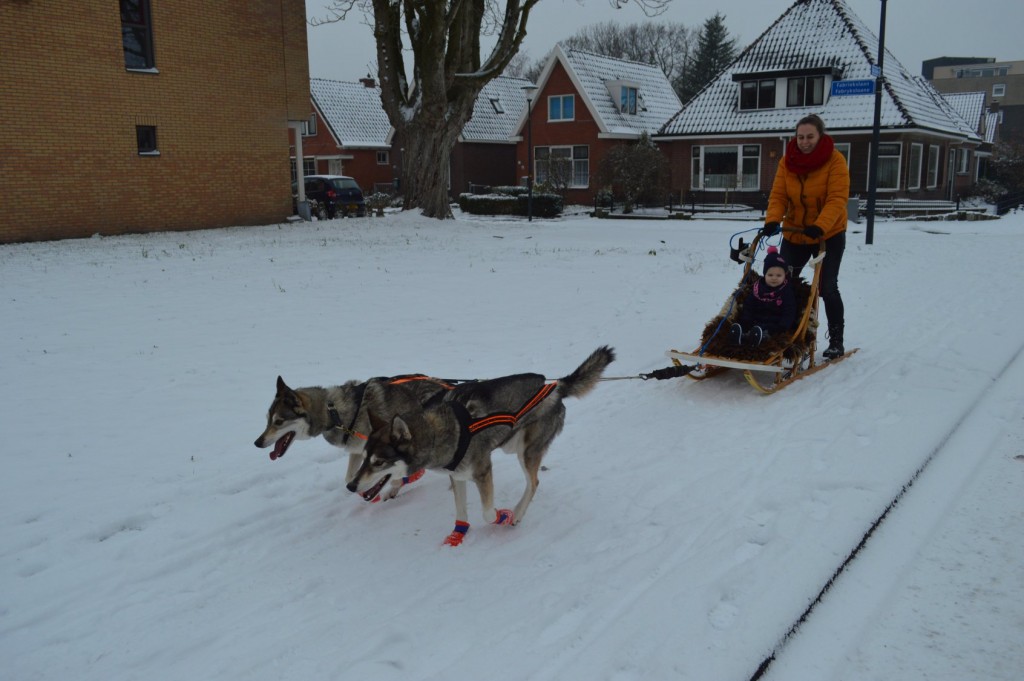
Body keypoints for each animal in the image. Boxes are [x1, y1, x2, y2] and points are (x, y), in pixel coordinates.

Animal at [253, 374, 458, 501]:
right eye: (267, 420)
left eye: (279, 421)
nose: (257, 442)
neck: (334, 412)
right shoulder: (359, 451)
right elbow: (350, 477)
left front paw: (394, 484)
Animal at [348, 348, 610, 544]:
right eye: (364, 457)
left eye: (379, 462)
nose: (351, 486)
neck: (443, 430)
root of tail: (555, 387)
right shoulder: (458, 475)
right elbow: (461, 511)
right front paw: (458, 534)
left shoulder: (483, 472)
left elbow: (486, 513)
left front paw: (503, 516)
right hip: (511, 444)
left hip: (526, 451)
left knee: (533, 482)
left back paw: (517, 513)